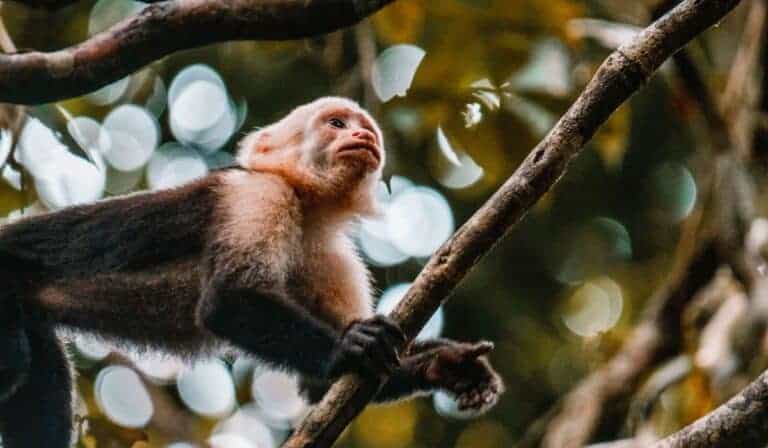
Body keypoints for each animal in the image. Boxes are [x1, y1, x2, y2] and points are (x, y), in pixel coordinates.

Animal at [0, 97, 503, 447]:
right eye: (337, 124)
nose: (364, 138)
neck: (308, 206)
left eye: (365, 128)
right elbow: (227, 302)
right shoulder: (259, 197)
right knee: (15, 362)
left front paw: (447, 366)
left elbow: (323, 388)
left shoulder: (332, 257)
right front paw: (349, 345)